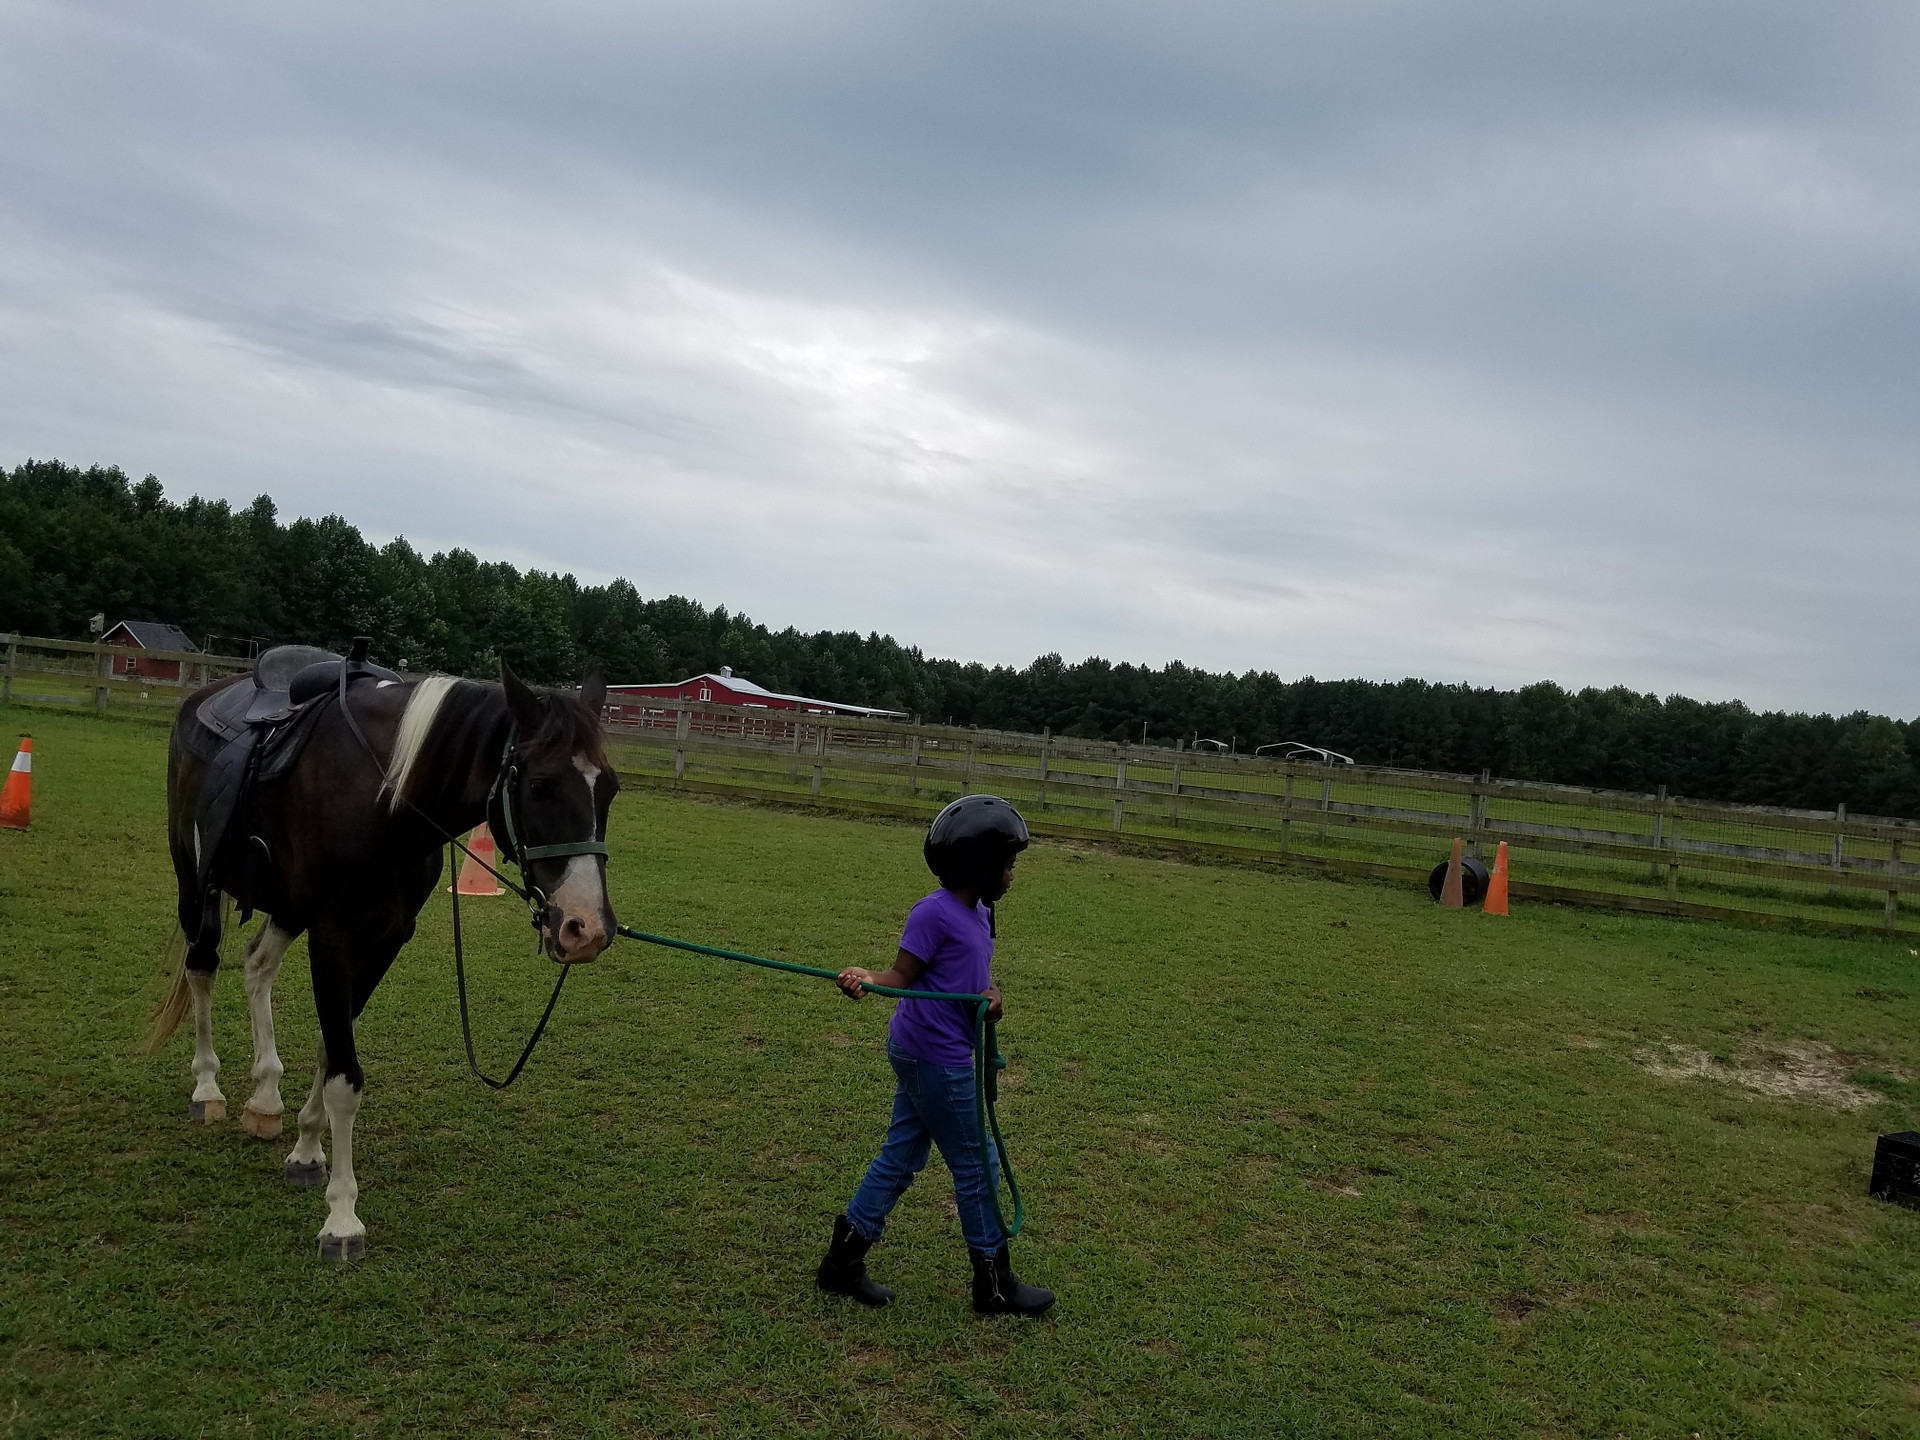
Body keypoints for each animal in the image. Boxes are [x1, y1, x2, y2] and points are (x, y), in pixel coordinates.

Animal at [144, 659, 618, 1259]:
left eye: (610, 790)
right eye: (539, 785)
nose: (587, 928)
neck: (382, 802)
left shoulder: (386, 939)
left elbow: (331, 1049)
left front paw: (306, 1149)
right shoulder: (331, 938)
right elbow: (344, 1079)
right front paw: (342, 1217)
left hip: (285, 907)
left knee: (257, 966)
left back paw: (266, 1098)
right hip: (194, 879)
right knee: (202, 967)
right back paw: (207, 1088)